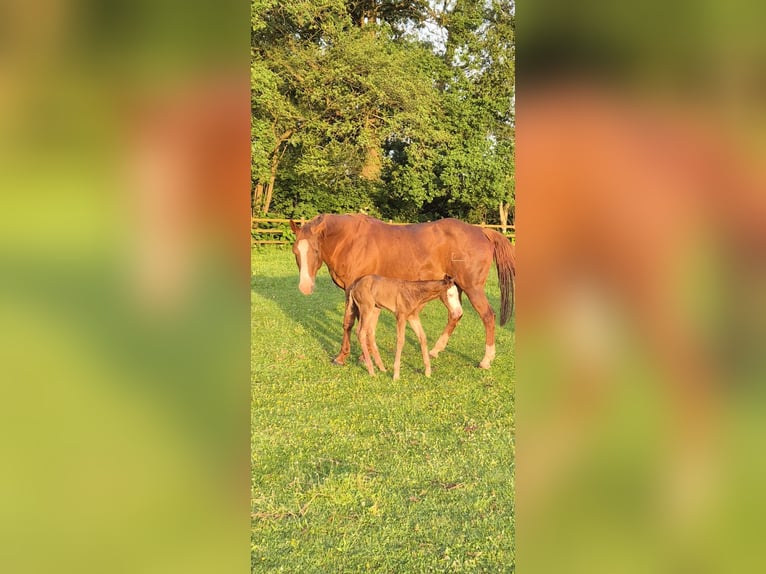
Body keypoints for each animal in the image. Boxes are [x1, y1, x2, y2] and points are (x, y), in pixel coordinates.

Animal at [289, 214, 515, 369]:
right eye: (295, 251)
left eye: (315, 250)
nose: (305, 287)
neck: (350, 241)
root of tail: (482, 232)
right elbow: (366, 324)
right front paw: (364, 355)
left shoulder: (352, 290)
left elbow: (349, 323)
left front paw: (342, 357)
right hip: (450, 287)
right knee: (455, 314)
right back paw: (435, 351)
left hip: (472, 288)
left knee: (488, 316)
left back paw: (486, 360)